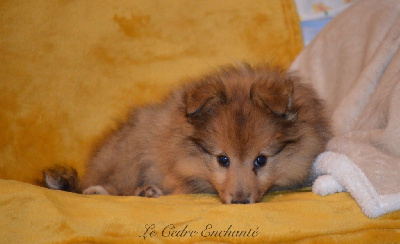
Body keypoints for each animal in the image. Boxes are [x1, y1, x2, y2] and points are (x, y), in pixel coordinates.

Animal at [43, 63, 332, 204]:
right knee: (105, 185)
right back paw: (105, 191)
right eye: (222, 160)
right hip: (129, 153)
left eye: (260, 160)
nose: (240, 201)